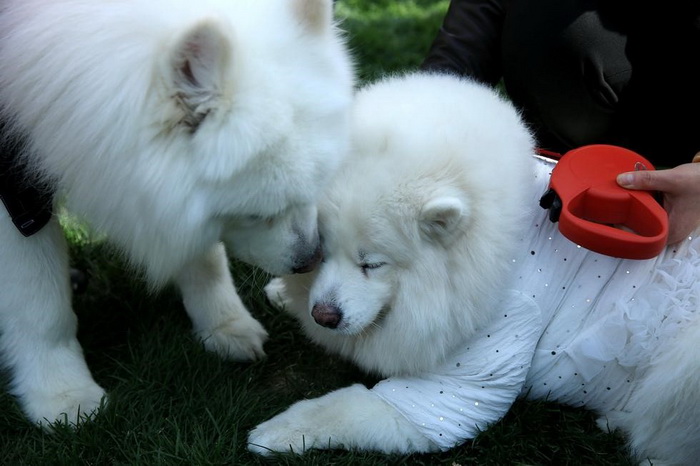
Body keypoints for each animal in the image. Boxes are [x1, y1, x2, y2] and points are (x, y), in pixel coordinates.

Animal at [0, 0, 352, 426]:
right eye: (258, 213)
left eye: (316, 186)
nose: (310, 260)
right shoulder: (15, 192)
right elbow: (39, 300)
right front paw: (62, 393)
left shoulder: (180, 207)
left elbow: (204, 257)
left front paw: (224, 325)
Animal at [247, 71, 700, 464]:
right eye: (320, 253)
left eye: (372, 264)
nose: (324, 316)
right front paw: (282, 294)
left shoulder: (459, 385)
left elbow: (349, 406)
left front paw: (280, 431)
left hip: (684, 361)